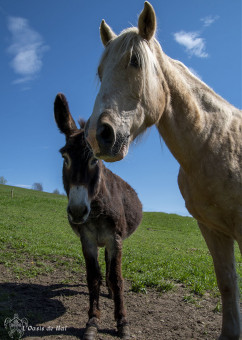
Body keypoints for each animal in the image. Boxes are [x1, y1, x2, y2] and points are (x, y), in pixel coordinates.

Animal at [54, 93, 143, 340]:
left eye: (95, 160)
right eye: (65, 157)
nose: (77, 211)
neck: (95, 212)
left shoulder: (115, 239)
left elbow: (117, 277)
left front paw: (122, 322)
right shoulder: (88, 240)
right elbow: (93, 277)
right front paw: (93, 321)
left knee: (112, 270)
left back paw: (112, 293)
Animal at [84, 1, 241, 338]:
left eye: (134, 61)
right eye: (100, 72)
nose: (98, 135)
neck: (214, 141)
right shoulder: (213, 229)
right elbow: (226, 284)